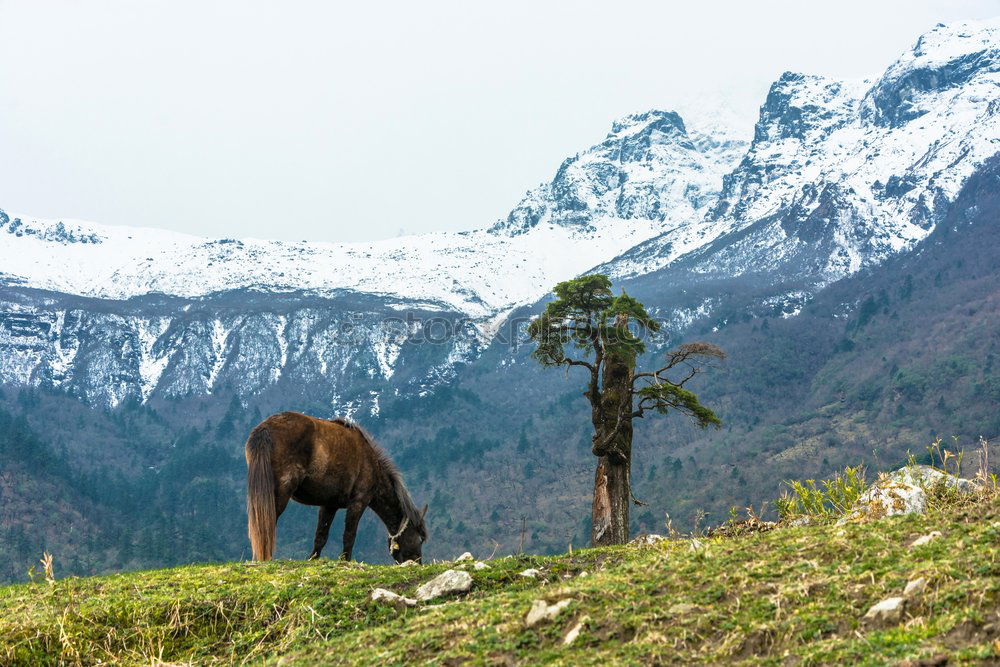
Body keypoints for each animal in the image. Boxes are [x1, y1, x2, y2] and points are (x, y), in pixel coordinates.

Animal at [247, 412, 430, 564]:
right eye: (420, 539)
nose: (418, 563)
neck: (372, 466)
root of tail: (265, 428)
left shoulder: (329, 505)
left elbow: (321, 535)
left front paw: (313, 560)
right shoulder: (358, 503)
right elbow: (349, 535)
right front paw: (345, 561)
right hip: (282, 491)